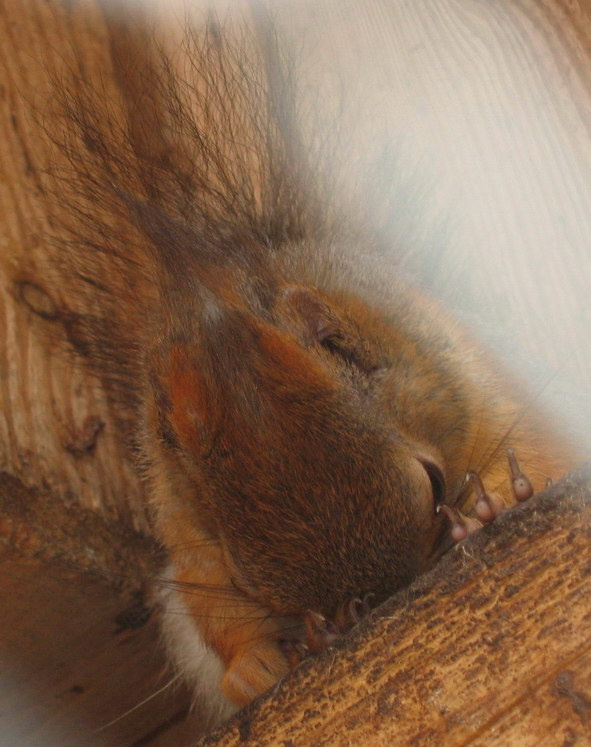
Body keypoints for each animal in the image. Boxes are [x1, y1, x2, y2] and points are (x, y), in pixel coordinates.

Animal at [46, 5, 582, 731]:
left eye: (435, 482)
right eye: (249, 576)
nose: (380, 598)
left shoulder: (493, 387)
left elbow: (529, 451)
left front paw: (499, 502)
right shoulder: (189, 540)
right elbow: (220, 620)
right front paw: (266, 663)